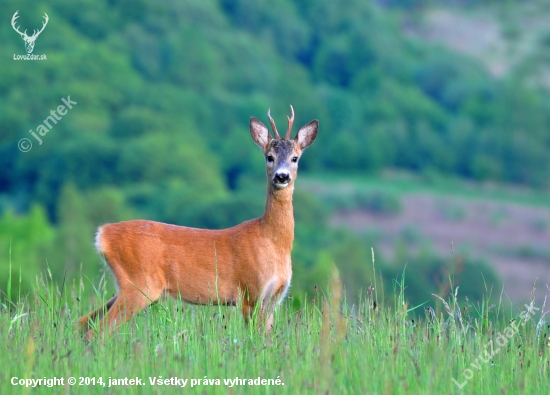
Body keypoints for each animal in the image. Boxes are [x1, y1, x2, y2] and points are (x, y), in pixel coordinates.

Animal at [78, 106, 320, 340]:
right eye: (269, 157)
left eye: (295, 158)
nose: (282, 176)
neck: (272, 241)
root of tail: (103, 234)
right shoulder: (249, 291)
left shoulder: (274, 298)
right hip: (139, 284)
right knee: (97, 332)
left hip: (128, 287)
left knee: (82, 322)